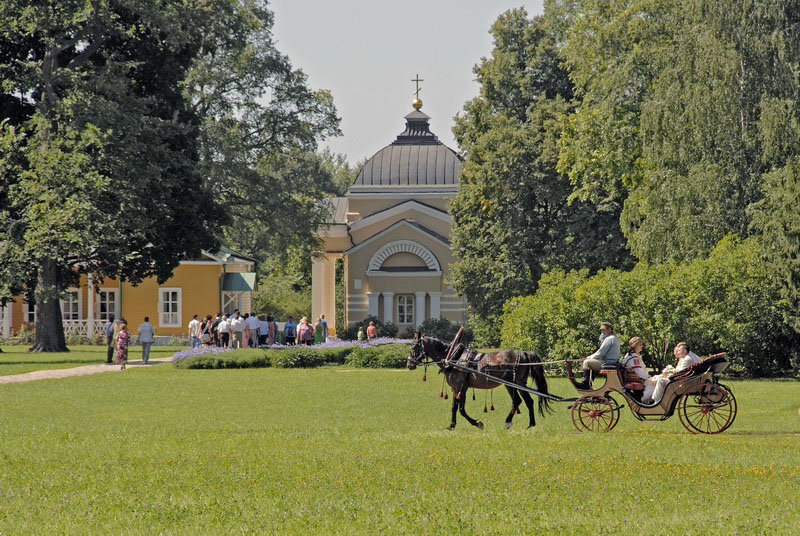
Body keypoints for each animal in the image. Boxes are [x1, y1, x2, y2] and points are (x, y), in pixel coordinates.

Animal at [406, 332, 552, 430]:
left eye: (413, 347)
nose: (409, 364)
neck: (454, 357)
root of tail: (524, 352)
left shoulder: (460, 387)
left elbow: (460, 408)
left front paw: (476, 423)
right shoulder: (458, 388)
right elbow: (455, 407)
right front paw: (452, 425)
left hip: (511, 384)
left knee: (517, 401)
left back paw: (508, 422)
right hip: (520, 383)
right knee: (528, 401)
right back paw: (531, 425)